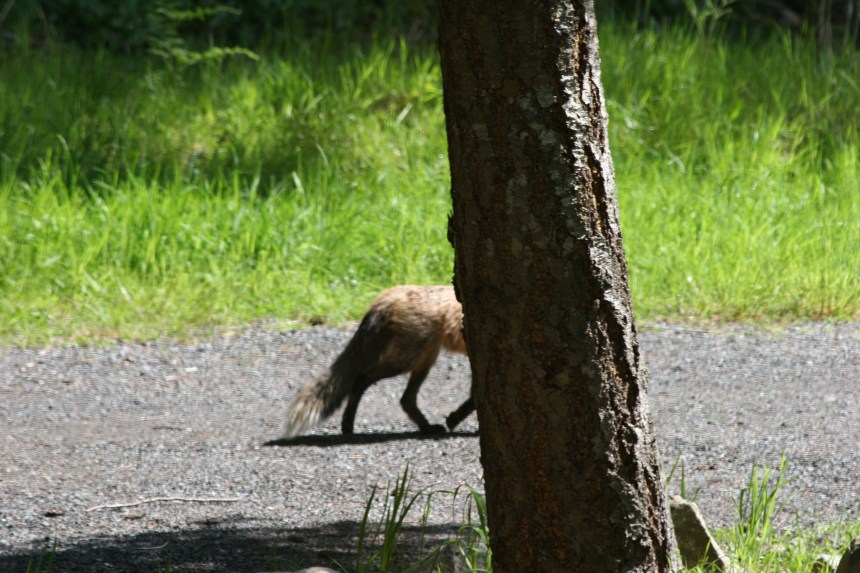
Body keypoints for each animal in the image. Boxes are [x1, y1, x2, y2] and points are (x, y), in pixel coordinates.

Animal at [281, 285, 475, 439]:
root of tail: (391, 293)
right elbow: (473, 399)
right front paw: (455, 419)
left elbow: (473, 398)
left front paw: (455, 418)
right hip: (405, 360)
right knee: (362, 380)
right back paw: (348, 425)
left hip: (423, 359)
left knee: (406, 399)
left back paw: (426, 428)